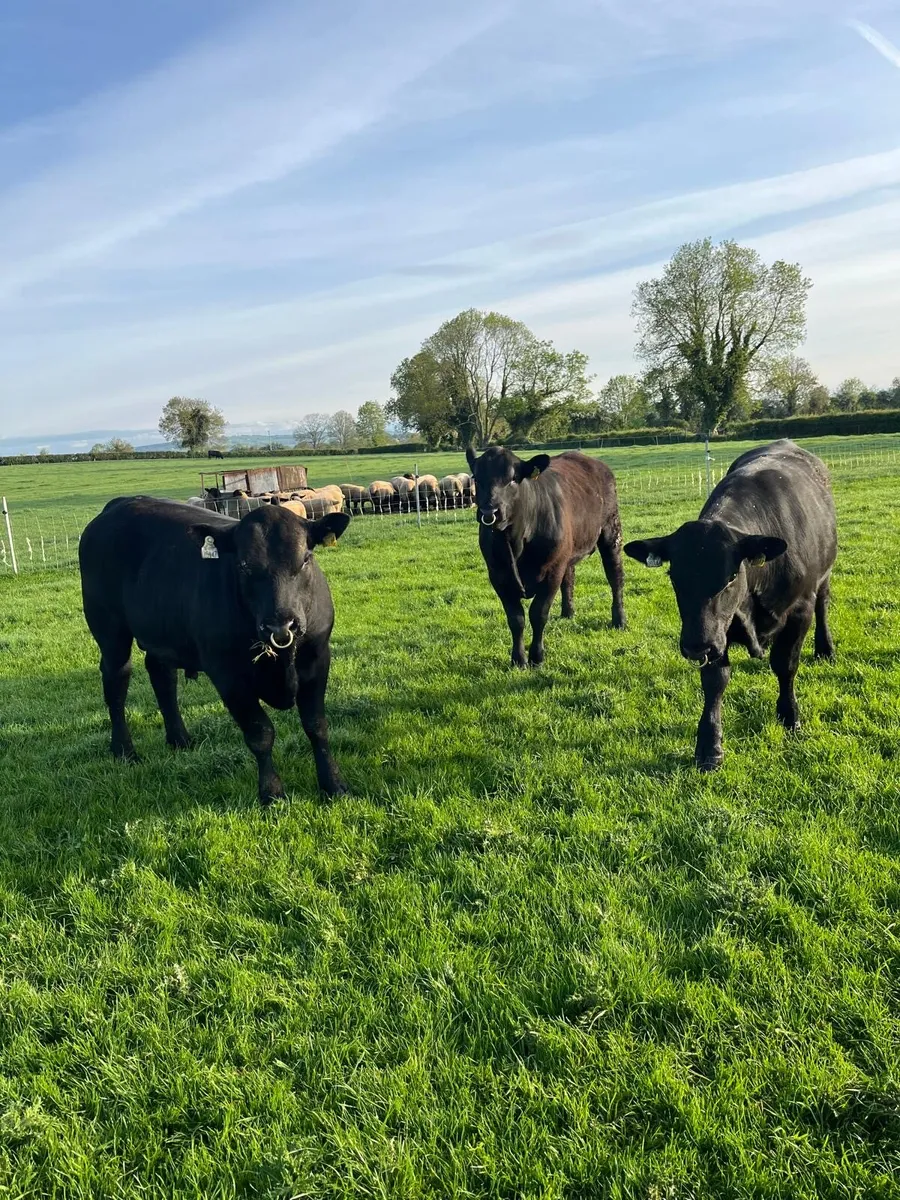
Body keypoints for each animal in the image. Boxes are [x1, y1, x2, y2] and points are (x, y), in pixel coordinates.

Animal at [79, 496, 351, 805]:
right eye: (243, 566)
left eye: (305, 559)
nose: (281, 624)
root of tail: (121, 502)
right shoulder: (227, 674)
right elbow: (260, 733)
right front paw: (271, 793)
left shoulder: (318, 657)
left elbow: (316, 726)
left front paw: (333, 784)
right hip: (109, 630)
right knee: (117, 681)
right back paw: (124, 750)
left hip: (163, 633)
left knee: (162, 677)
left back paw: (180, 739)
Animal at [466, 446, 626, 667]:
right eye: (477, 478)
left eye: (514, 478)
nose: (490, 512)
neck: (516, 540)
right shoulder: (498, 575)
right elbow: (516, 619)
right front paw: (518, 659)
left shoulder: (552, 571)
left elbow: (538, 614)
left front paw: (536, 657)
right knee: (570, 578)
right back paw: (568, 613)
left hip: (611, 532)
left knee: (615, 576)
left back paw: (619, 620)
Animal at [624, 440, 837, 771]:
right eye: (674, 576)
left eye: (731, 576)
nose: (695, 645)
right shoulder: (716, 630)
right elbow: (715, 682)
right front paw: (709, 747)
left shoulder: (799, 610)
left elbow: (785, 664)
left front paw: (790, 717)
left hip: (824, 576)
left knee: (823, 605)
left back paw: (825, 649)